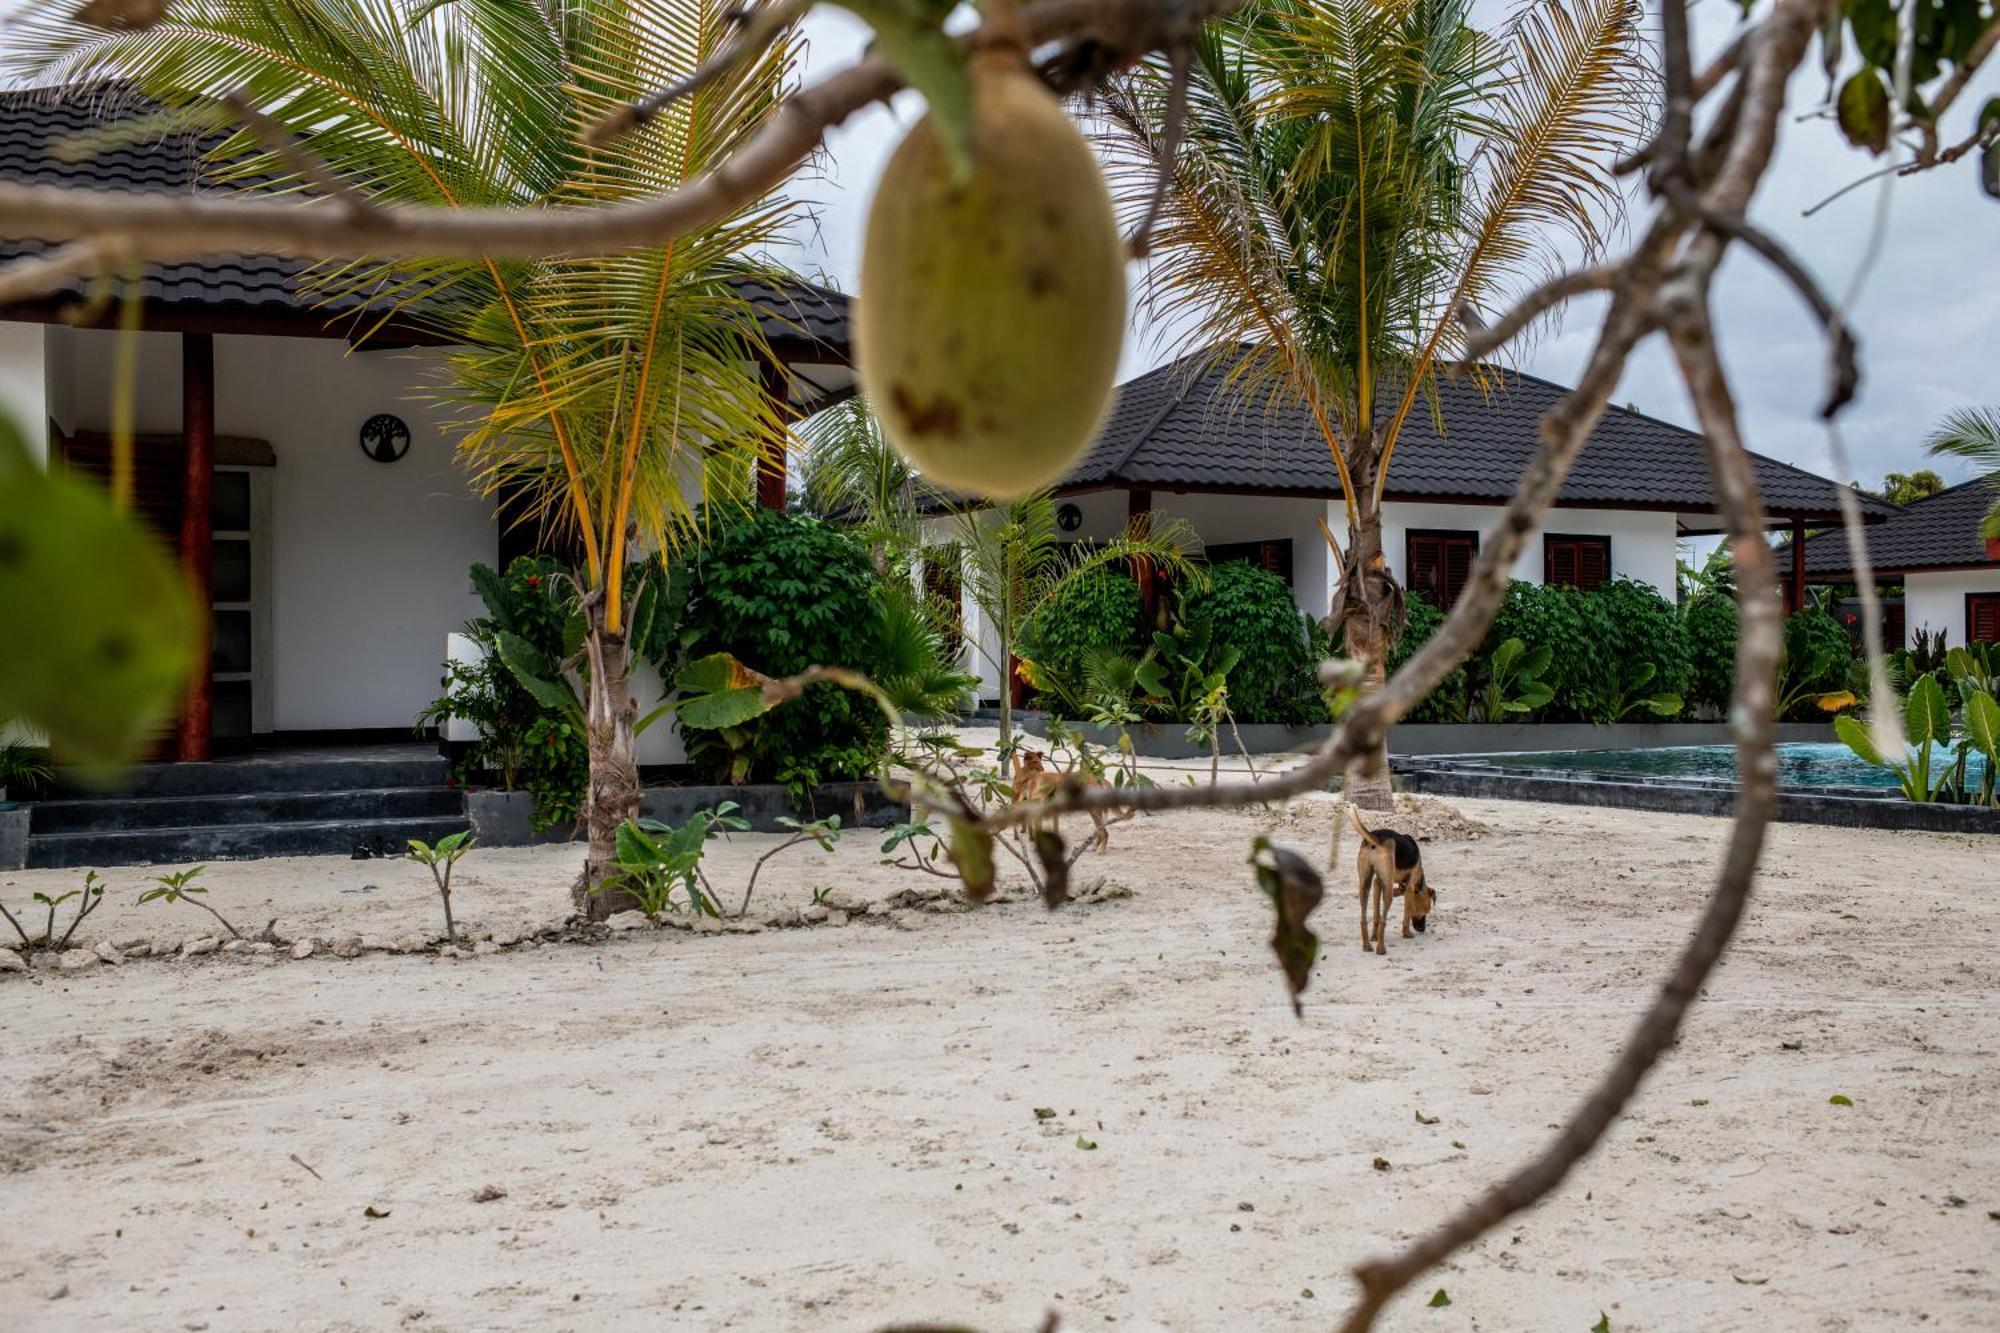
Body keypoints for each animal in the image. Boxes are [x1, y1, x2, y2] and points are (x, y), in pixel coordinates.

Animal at [1344, 804, 1440, 948]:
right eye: (1426, 910)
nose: (1422, 929)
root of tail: (1377, 838)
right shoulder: (1410, 887)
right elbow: (1406, 914)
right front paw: (1406, 933)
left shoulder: (1377, 883)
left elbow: (1376, 915)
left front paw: (1374, 936)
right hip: (1387, 887)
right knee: (1383, 918)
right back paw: (1380, 947)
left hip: (1365, 884)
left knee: (1365, 917)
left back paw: (1368, 944)